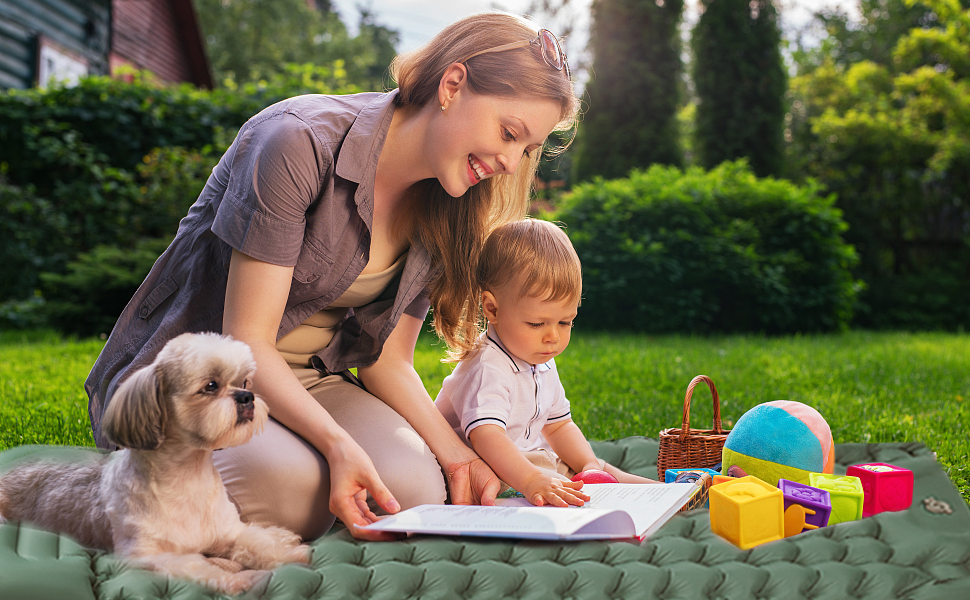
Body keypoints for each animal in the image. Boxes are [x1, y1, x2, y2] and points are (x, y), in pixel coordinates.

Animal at [0, 332, 310, 596]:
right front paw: (238, 579)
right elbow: (198, 564)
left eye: (244, 382)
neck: (188, 477)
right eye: (211, 386)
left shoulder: (230, 533)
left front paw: (292, 555)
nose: (247, 397)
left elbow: (260, 543)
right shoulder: (147, 556)